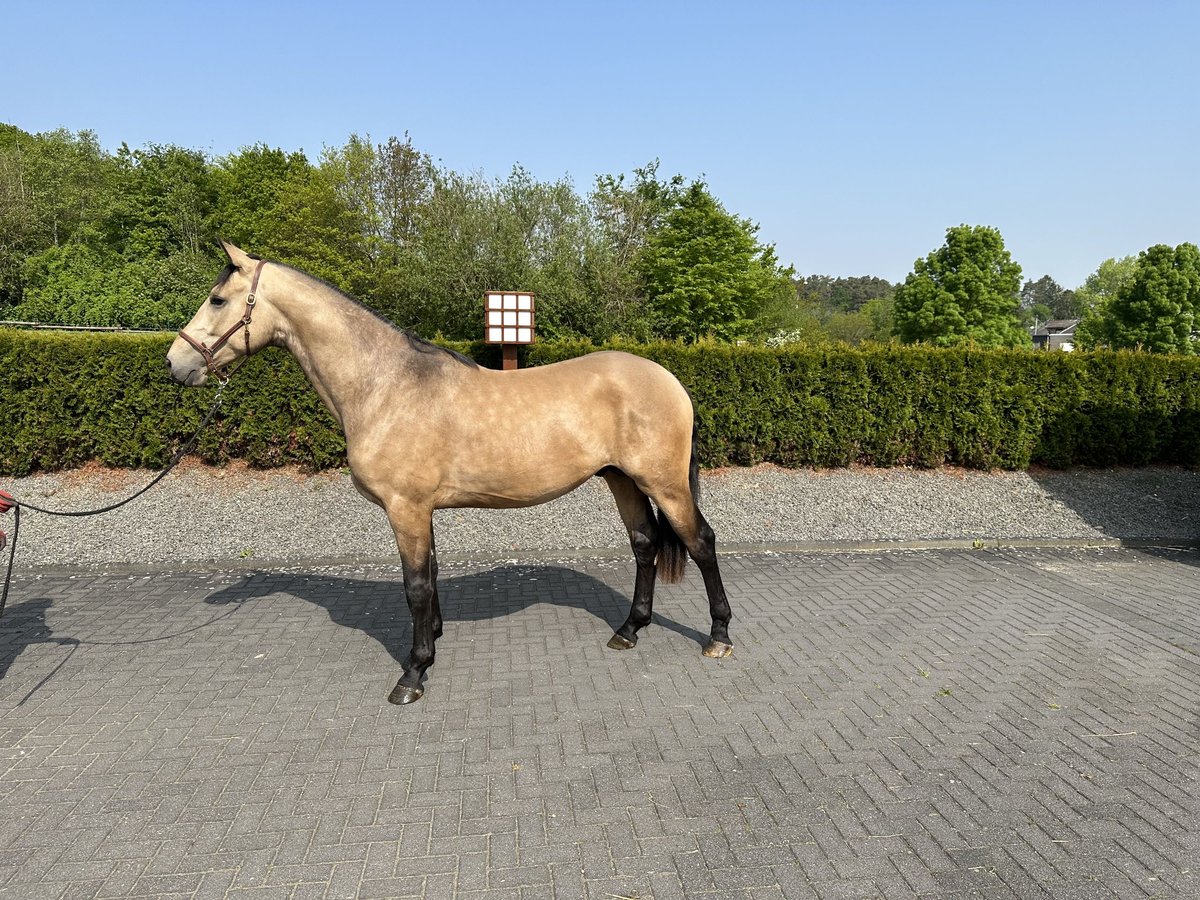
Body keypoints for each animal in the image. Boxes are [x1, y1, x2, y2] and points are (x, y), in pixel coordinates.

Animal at [168, 243, 729, 710]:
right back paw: (629, 630)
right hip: (621, 479)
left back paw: (719, 637)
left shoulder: (405, 507)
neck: (385, 385)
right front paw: (432, 642)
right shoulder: (421, 509)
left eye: (218, 299)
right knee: (644, 543)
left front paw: (413, 674)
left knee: (701, 542)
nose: (176, 365)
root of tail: (669, 379)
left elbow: (415, 585)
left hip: (664, 484)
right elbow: (431, 577)